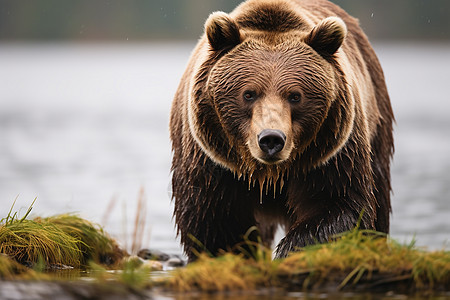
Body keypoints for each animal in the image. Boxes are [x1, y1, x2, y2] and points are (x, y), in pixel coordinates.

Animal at [169, 0, 394, 260]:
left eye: (295, 96)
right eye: (248, 93)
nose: (271, 139)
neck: (271, 174)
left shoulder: (331, 156)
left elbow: (339, 205)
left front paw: (290, 248)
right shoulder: (211, 160)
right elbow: (213, 218)